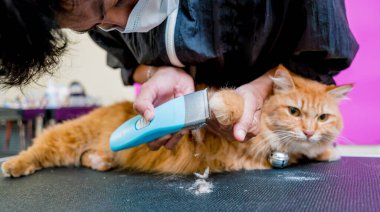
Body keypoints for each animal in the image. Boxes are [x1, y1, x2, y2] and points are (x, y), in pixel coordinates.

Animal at [0, 66, 352, 177]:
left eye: (322, 117)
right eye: (294, 112)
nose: (309, 131)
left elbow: (312, 153)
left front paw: (326, 150)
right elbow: (232, 100)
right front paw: (222, 105)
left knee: (86, 157)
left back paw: (101, 161)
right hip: (67, 137)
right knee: (38, 149)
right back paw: (13, 165)